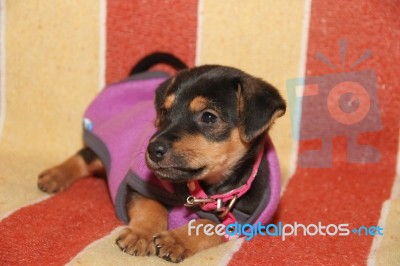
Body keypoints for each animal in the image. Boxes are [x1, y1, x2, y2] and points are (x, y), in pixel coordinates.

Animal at [37, 65, 286, 262]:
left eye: (208, 117)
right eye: (164, 112)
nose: (152, 150)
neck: (204, 188)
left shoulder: (238, 222)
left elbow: (207, 225)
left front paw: (176, 240)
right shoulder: (137, 185)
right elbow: (151, 206)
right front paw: (141, 234)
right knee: (84, 156)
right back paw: (54, 176)